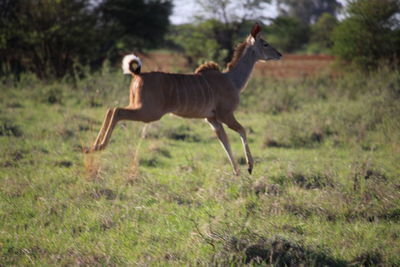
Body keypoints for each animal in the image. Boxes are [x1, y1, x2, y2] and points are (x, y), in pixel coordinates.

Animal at [85, 23, 282, 176]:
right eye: (265, 43)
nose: (279, 54)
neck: (232, 80)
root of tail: (137, 75)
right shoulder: (225, 114)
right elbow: (242, 131)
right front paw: (249, 167)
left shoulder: (212, 119)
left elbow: (224, 141)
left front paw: (237, 172)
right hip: (148, 112)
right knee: (117, 111)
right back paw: (99, 147)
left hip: (139, 107)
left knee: (111, 109)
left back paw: (91, 147)